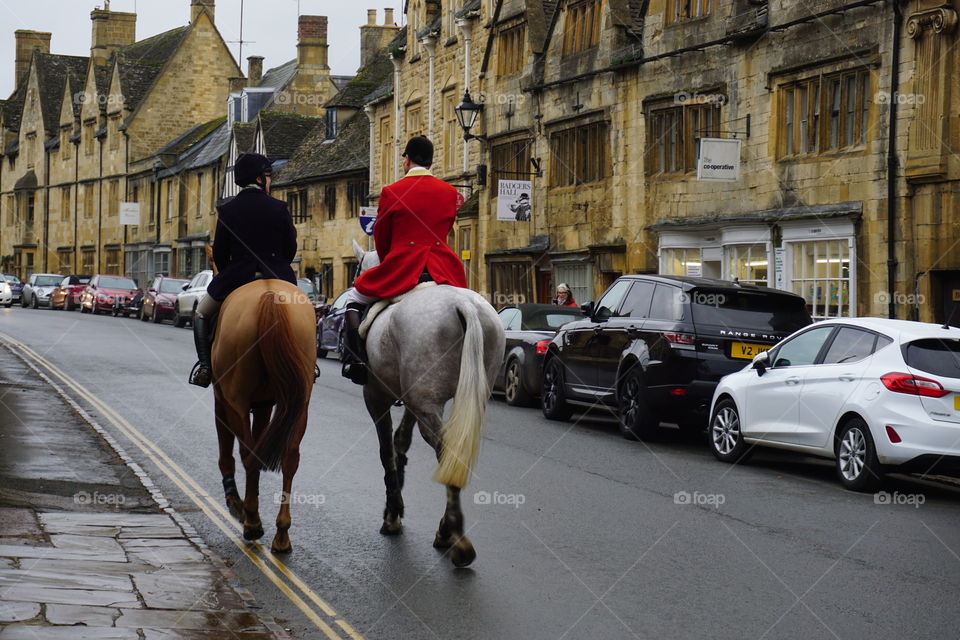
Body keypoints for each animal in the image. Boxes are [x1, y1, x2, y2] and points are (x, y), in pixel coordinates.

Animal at [210, 280, 316, 556]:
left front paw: (235, 501)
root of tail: (269, 295)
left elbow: (226, 449)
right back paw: (282, 534)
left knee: (248, 454)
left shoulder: (222, 398)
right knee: (289, 458)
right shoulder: (264, 405)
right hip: (300, 403)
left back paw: (252, 521)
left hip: (236, 398)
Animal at [350, 239, 502, 564]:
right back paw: (450, 531)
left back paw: (452, 535)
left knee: (445, 450)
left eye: (357, 270)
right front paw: (395, 504)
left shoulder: (375, 394)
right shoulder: (413, 398)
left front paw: (392, 514)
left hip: (426, 400)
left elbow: (386, 450)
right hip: (458, 396)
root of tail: (465, 305)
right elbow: (400, 441)